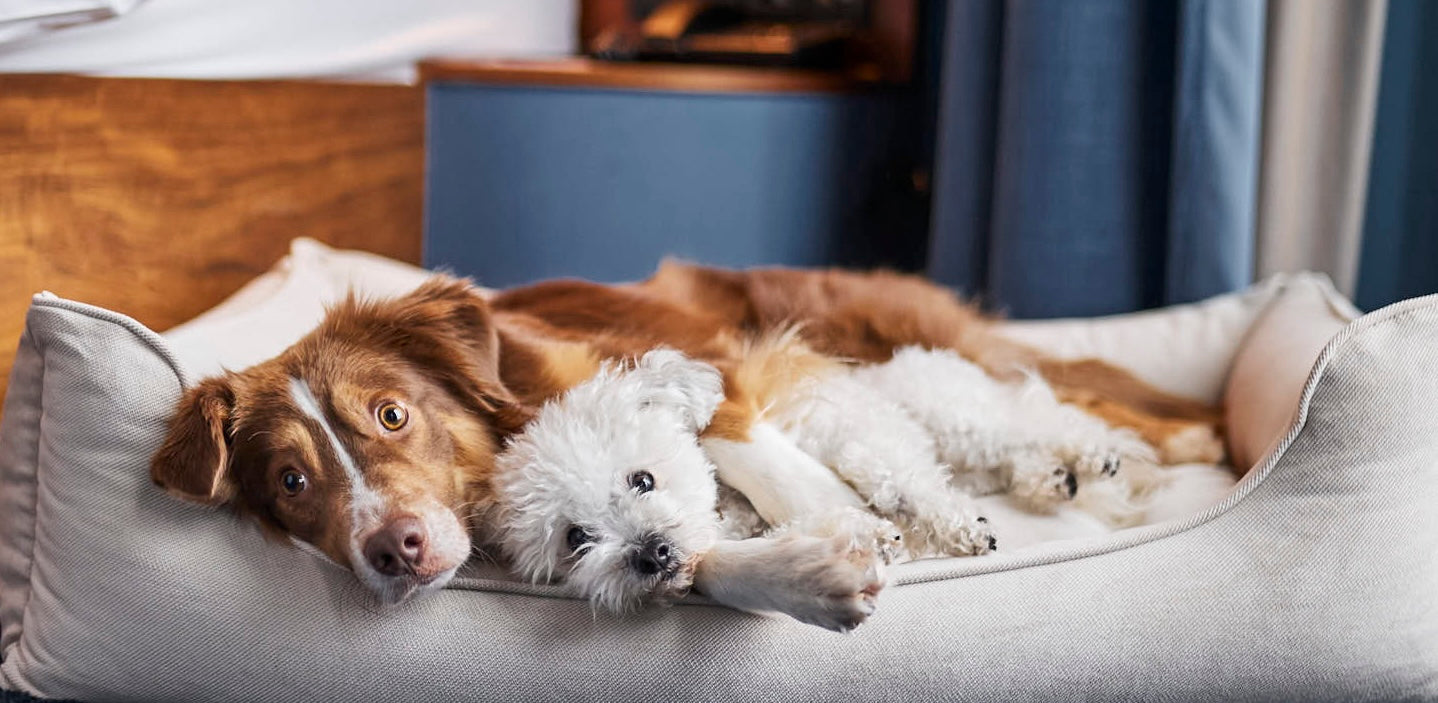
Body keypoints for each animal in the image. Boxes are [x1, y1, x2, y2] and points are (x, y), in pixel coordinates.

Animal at [151, 260, 1219, 600]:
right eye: (289, 482)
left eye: (390, 414)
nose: (395, 546)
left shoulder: (717, 371)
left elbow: (755, 450)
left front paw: (849, 526)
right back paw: (1058, 477)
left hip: (905, 342)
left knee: (1072, 396)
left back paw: (1171, 445)